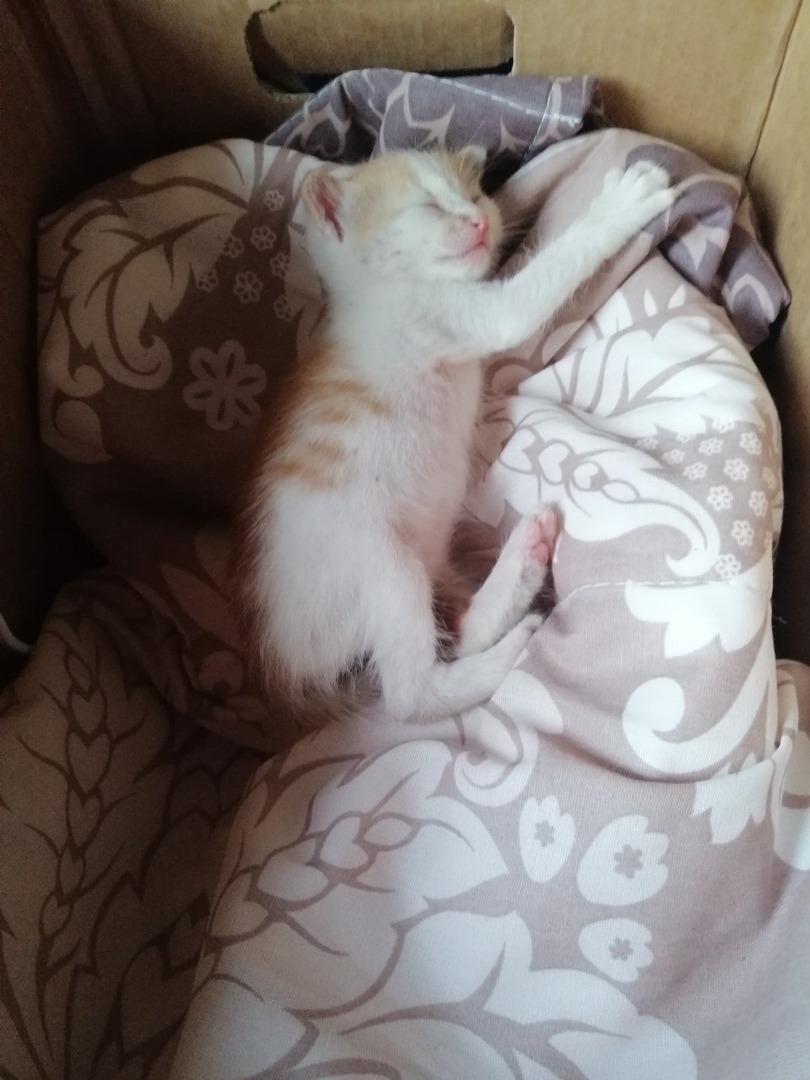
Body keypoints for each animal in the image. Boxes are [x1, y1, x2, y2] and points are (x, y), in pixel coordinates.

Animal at [237, 147, 675, 731]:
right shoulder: (457, 314)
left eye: (474, 196)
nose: (479, 221)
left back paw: (524, 562)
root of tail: (275, 675)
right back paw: (506, 656)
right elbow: (530, 294)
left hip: (432, 569)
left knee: (459, 630)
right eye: (427, 206)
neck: (380, 291)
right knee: (411, 695)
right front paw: (621, 203)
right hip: (379, 563)